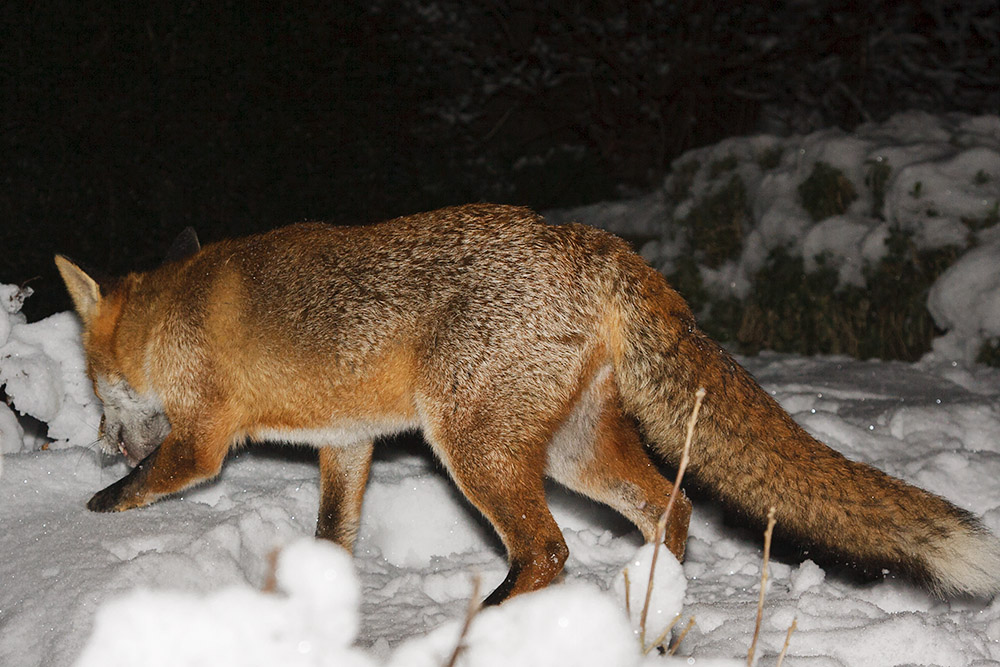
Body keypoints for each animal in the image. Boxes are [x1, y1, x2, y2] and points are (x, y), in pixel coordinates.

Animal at [55, 203, 1000, 604]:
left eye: (97, 391)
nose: (101, 438)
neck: (169, 315)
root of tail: (592, 240)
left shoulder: (204, 440)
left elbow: (147, 483)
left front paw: (88, 513)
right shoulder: (349, 442)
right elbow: (332, 534)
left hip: (475, 445)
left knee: (547, 549)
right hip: (573, 450)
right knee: (673, 509)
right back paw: (652, 623)